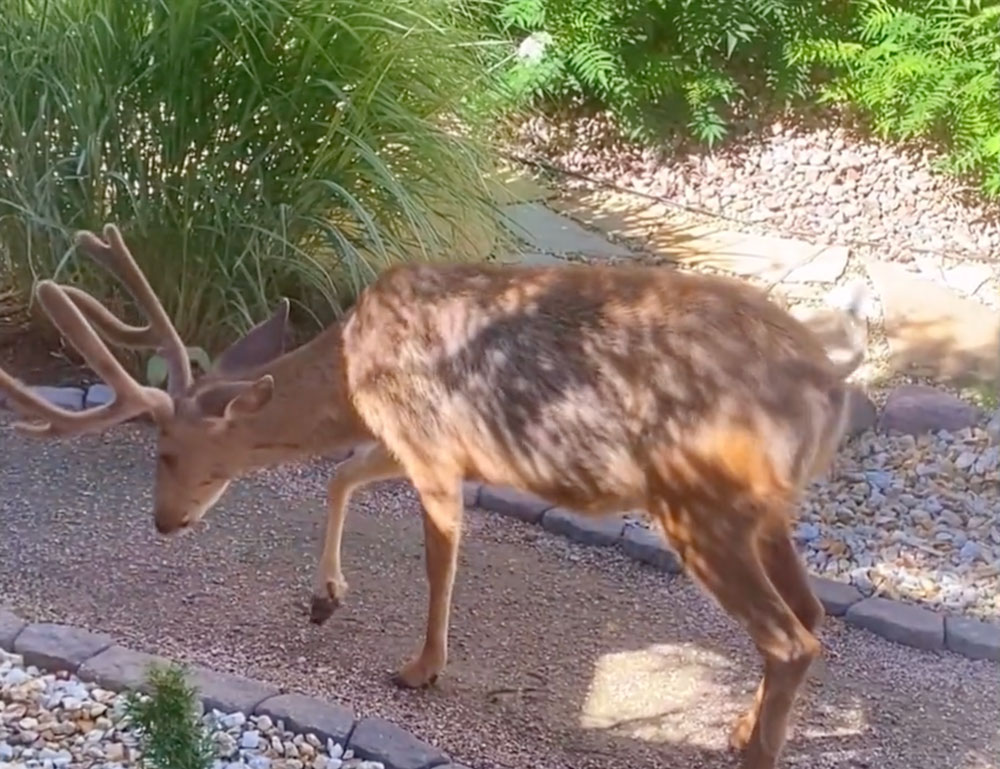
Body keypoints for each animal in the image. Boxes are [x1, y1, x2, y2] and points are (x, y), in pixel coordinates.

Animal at [0, 222, 868, 768]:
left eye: (169, 449)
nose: (163, 521)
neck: (353, 364)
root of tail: (830, 392)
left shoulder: (429, 439)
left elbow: (436, 558)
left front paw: (418, 668)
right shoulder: (411, 438)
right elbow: (342, 475)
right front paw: (324, 598)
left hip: (699, 501)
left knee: (790, 637)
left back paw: (754, 751)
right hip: (763, 510)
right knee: (808, 616)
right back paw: (739, 728)